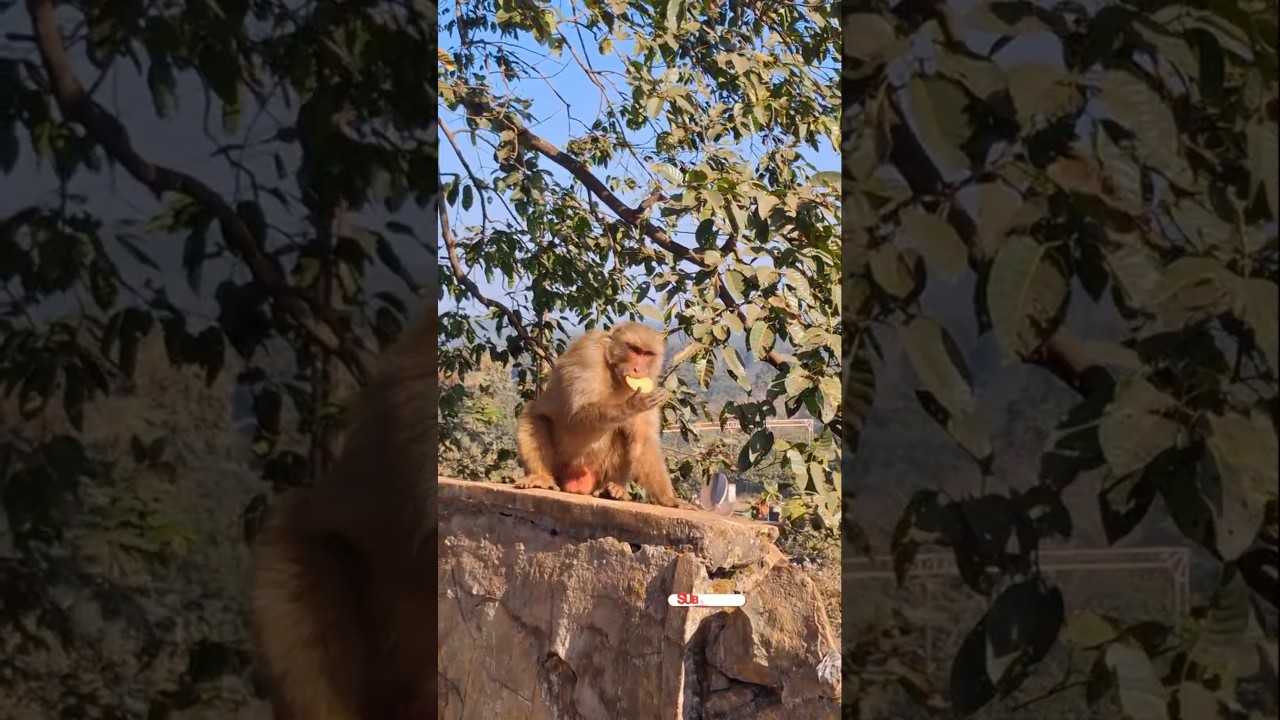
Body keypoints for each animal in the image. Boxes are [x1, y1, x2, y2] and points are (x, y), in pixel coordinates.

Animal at [513, 321, 692, 509]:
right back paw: (541, 477)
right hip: (559, 467)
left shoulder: (650, 382)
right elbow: (576, 416)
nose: (638, 369)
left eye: (647, 354)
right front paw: (633, 405)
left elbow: (643, 441)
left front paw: (669, 499)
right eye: (634, 350)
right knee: (534, 418)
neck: (614, 372)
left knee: (622, 434)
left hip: (596, 473)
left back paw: (611, 489)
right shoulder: (589, 355)